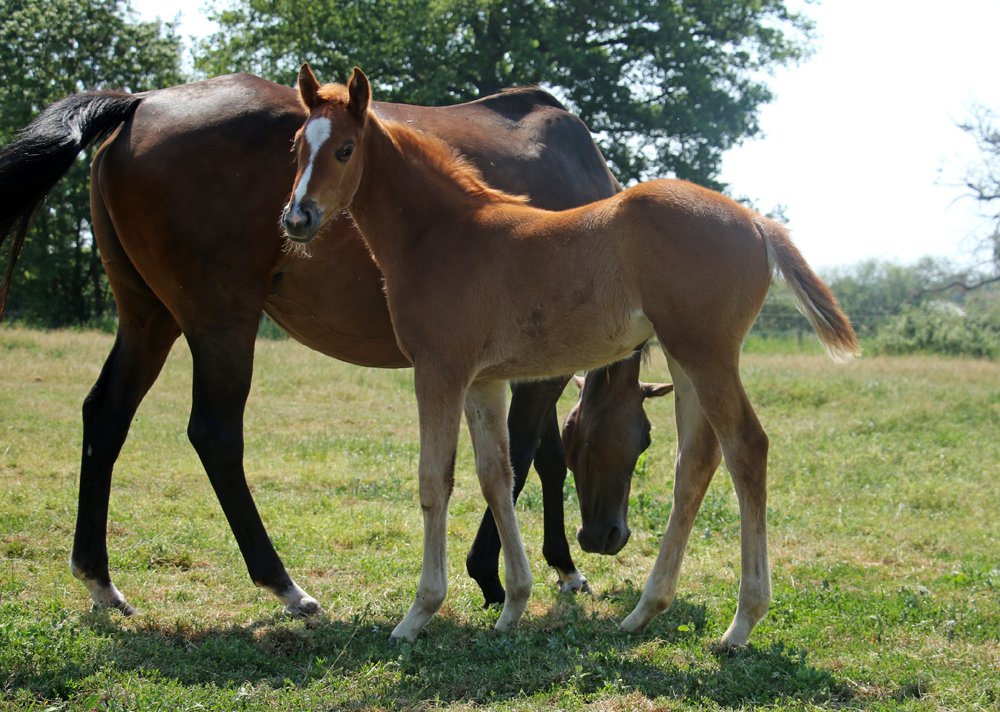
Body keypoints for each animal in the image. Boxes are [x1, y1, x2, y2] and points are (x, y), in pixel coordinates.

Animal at [0, 72, 659, 616]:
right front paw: (494, 575)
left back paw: (100, 580)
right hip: (219, 322)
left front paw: (561, 568)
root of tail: (139, 103)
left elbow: (542, 457)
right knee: (215, 435)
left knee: (106, 416)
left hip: (148, 316)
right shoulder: (530, 371)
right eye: (646, 439)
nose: (607, 537)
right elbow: (523, 458)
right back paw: (283, 584)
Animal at [281, 66, 859, 646]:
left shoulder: (439, 370)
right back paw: (645, 610)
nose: (297, 218)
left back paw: (741, 622)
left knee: (746, 447)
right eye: (297, 146)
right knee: (696, 461)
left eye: (345, 149)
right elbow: (497, 475)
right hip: (685, 358)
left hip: (707, 354)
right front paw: (513, 603)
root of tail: (758, 223)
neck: (445, 235)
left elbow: (434, 481)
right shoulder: (482, 380)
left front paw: (418, 614)